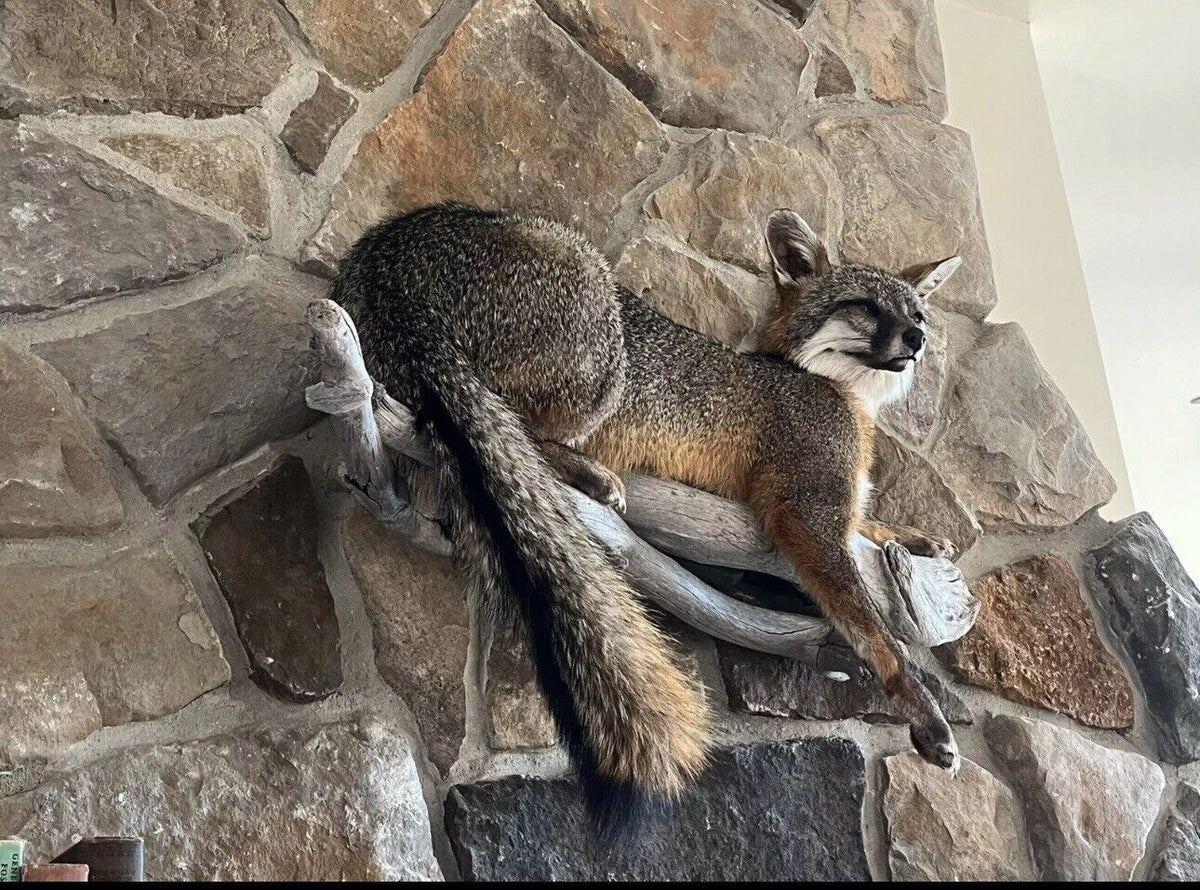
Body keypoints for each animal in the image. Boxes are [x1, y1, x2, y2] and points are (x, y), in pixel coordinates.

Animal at [332, 202, 963, 831]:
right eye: (866, 306)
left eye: (916, 312)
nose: (919, 337)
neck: (829, 388)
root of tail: (391, 254)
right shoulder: (803, 513)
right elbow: (876, 631)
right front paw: (923, 712)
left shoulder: (835, 510)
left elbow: (869, 531)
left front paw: (917, 538)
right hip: (594, 311)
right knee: (515, 428)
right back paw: (586, 473)